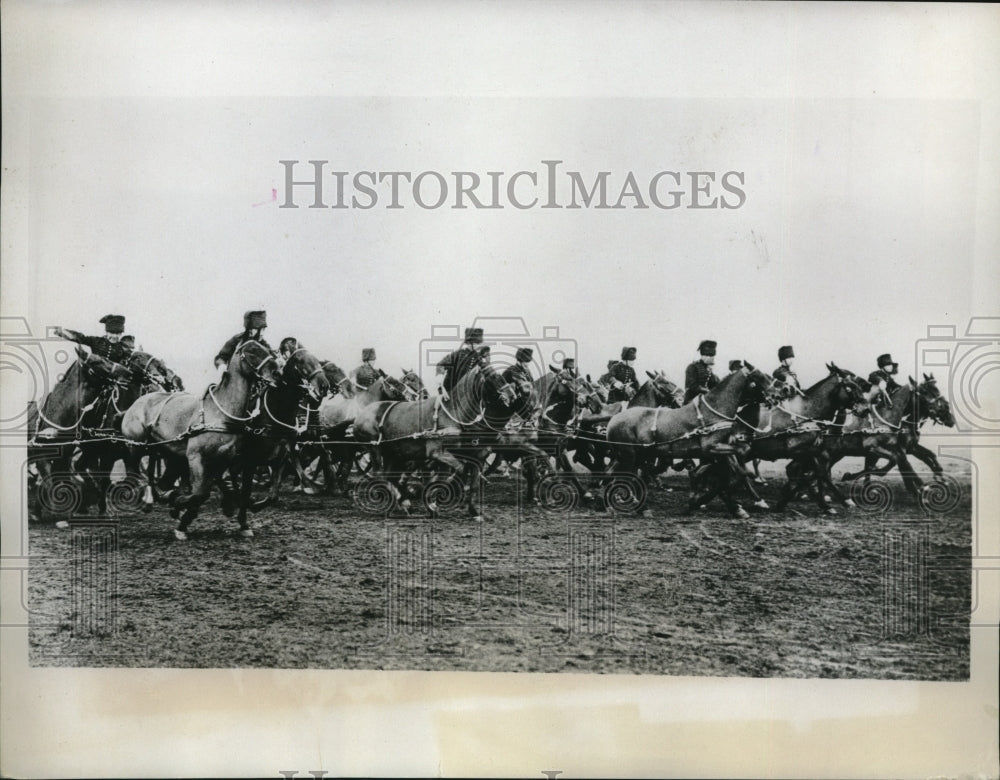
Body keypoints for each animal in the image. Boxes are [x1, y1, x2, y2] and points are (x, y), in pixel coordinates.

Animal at [124, 342, 284, 544]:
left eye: (267, 350)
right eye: (252, 352)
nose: (277, 373)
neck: (219, 413)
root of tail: (138, 401)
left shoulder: (222, 460)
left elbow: (205, 491)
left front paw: (183, 514)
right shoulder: (195, 458)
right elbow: (199, 493)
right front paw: (179, 509)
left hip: (168, 453)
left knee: (161, 481)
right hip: (135, 447)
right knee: (134, 472)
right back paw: (148, 499)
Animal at [604, 366, 784, 516]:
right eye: (758, 378)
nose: (777, 395)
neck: (714, 413)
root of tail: (613, 420)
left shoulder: (720, 449)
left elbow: (733, 470)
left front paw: (733, 506)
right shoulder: (711, 448)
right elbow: (735, 469)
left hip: (631, 455)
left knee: (614, 474)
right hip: (629, 455)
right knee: (628, 476)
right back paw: (640, 507)